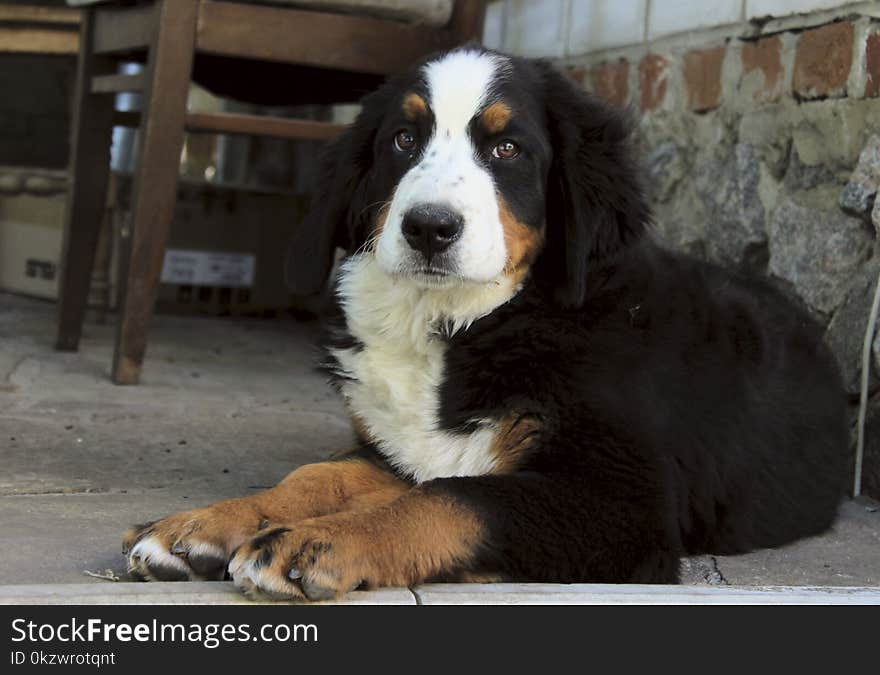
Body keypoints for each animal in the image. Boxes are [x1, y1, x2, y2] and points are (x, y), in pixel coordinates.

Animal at [122, 47, 844, 604]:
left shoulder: (622, 504)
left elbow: (456, 501)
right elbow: (319, 476)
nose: (429, 227)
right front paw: (200, 526)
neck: (459, 326)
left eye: (507, 148)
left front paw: (313, 541)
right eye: (404, 139)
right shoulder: (395, 449)